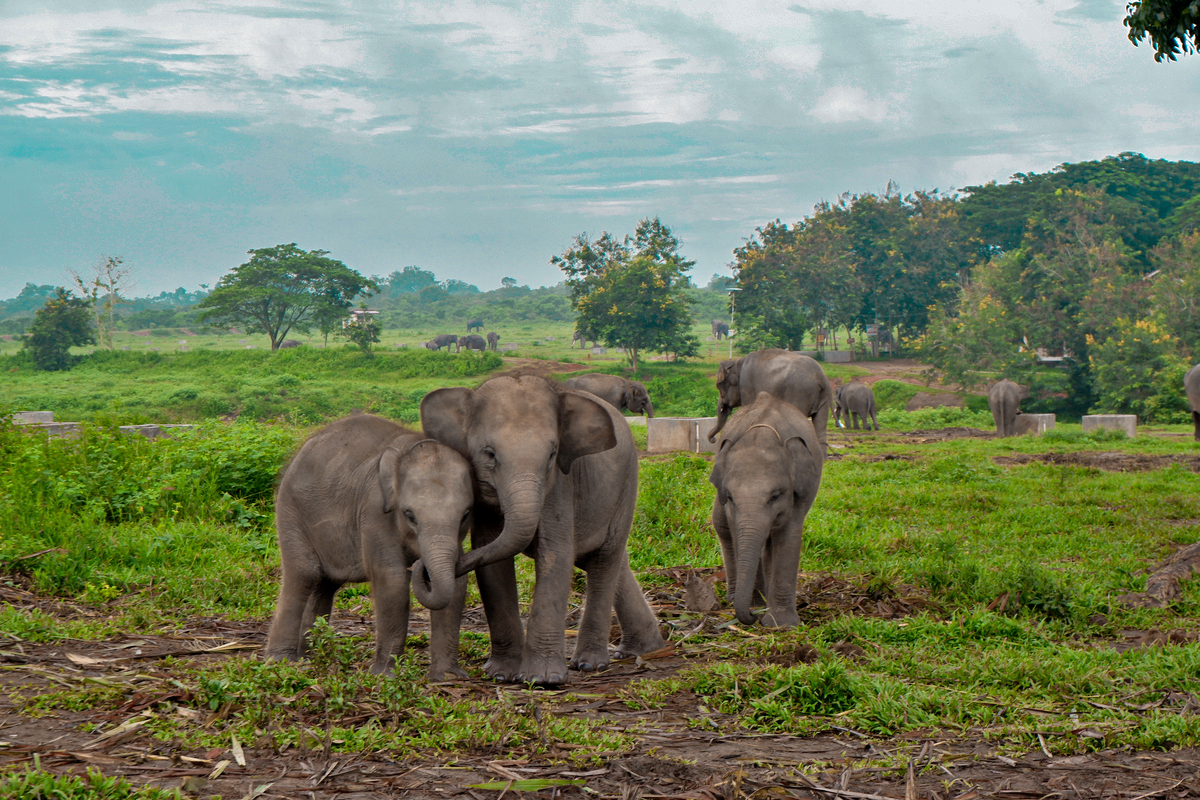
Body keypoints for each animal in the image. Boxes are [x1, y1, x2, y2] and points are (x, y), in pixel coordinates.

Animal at [267, 417, 472, 681]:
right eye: (410, 515)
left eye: (466, 515)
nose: (420, 566)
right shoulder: (374, 512)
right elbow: (391, 580)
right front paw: (384, 675)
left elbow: (458, 582)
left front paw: (447, 677)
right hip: (290, 511)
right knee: (303, 574)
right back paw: (280, 661)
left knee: (324, 585)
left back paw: (309, 656)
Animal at [420, 379, 667, 686]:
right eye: (489, 454)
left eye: (552, 454)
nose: (423, 571)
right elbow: (491, 558)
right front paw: (501, 675)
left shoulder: (560, 484)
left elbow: (555, 554)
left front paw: (542, 680)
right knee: (605, 559)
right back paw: (644, 649)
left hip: (626, 486)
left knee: (605, 558)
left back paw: (590, 664)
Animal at [710, 393, 825, 623]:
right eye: (730, 496)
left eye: (775, 496)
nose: (752, 616)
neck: (761, 437)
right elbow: (736, 532)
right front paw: (757, 606)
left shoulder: (797, 493)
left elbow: (788, 536)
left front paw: (780, 623)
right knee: (722, 526)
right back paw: (737, 597)